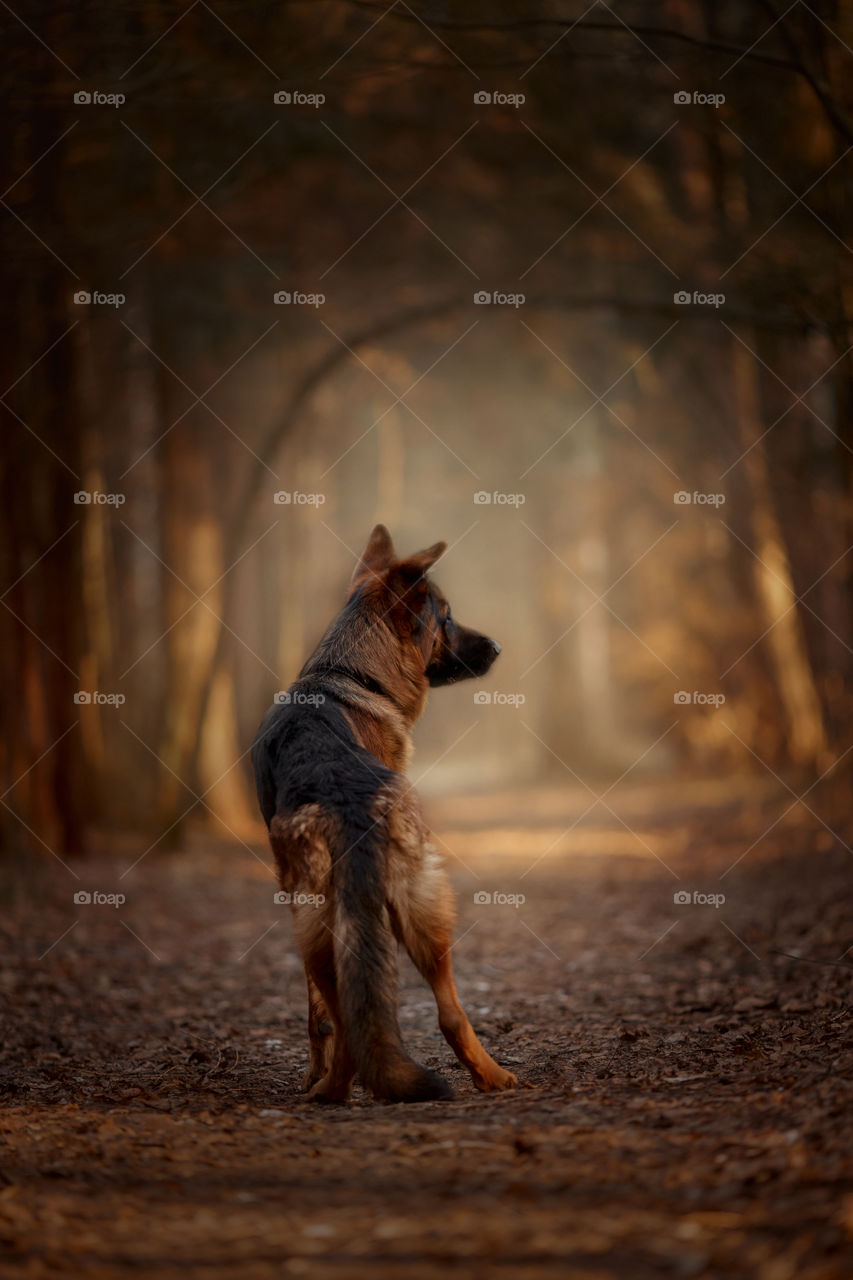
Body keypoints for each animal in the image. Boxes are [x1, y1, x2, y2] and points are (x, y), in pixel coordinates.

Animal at [249, 524, 514, 1105]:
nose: (498, 648)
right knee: (448, 1012)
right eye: (447, 618)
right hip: (422, 915)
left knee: (347, 1016)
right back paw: (489, 1077)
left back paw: (332, 1089)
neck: (347, 672)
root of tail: (345, 798)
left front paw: (313, 1075)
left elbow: (316, 1015)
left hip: (318, 928)